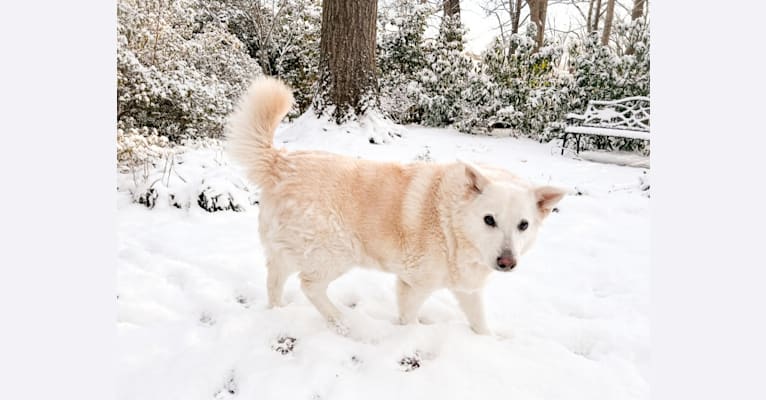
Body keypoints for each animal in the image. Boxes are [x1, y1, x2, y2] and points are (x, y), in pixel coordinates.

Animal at [225, 76, 568, 334]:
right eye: (489, 220)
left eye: (523, 225)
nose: (507, 262)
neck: (453, 227)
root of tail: (281, 163)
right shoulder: (412, 287)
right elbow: (409, 321)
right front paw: (410, 336)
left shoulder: (467, 290)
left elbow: (481, 325)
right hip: (337, 252)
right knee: (309, 286)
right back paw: (342, 323)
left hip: (290, 250)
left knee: (274, 279)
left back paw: (279, 312)